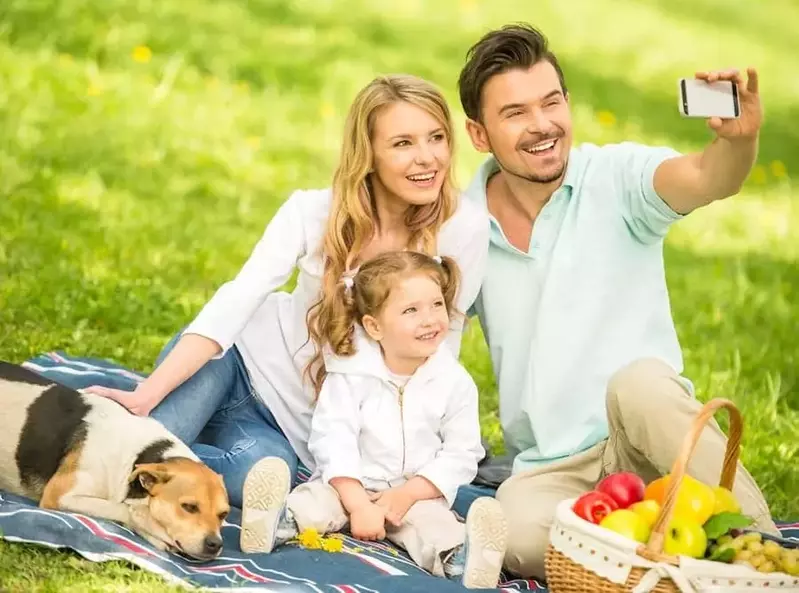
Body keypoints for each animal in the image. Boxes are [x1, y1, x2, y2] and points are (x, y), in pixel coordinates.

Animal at [0, 360, 231, 560]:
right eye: (189, 507)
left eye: (223, 515)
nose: (215, 544)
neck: (135, 453)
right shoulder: (59, 496)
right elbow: (122, 508)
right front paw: (149, 526)